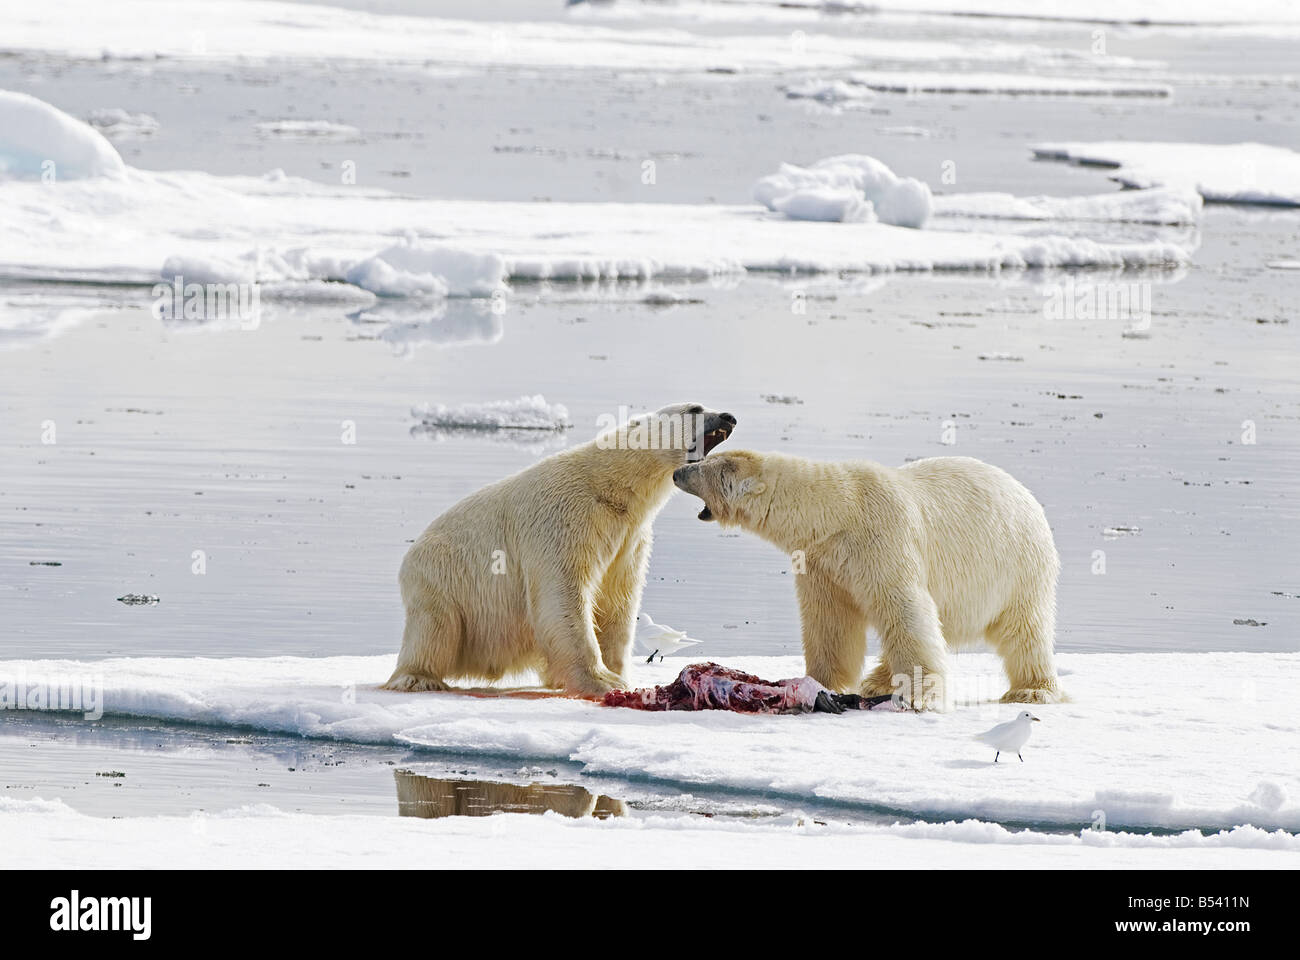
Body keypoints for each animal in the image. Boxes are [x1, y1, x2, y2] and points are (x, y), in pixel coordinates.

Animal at [379, 403, 738, 697]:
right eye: (695, 408)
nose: (729, 416)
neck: (611, 487)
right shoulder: (564, 518)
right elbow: (563, 593)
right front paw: (602, 680)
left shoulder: (629, 538)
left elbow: (618, 600)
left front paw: (621, 674)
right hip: (442, 580)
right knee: (436, 629)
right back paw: (419, 678)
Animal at [676, 447, 1060, 702]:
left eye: (703, 467)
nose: (678, 471)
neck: (837, 510)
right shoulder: (822, 562)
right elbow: (830, 621)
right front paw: (820, 680)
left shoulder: (881, 539)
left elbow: (904, 606)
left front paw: (920, 695)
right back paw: (878, 681)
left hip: (1019, 565)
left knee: (1024, 629)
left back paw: (1032, 690)